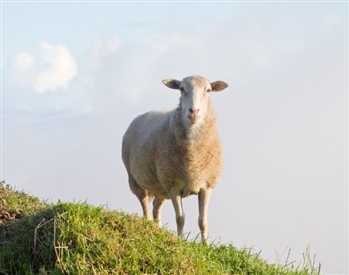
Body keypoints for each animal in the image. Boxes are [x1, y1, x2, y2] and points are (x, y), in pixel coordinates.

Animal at [121, 75, 227, 244]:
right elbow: (180, 218)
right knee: (145, 207)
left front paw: (205, 245)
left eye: (208, 90)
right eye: (182, 89)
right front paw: (181, 241)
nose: (194, 112)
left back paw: (157, 229)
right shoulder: (173, 186)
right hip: (136, 181)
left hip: (161, 188)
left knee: (156, 207)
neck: (192, 162)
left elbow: (203, 221)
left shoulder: (207, 185)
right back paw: (148, 226)